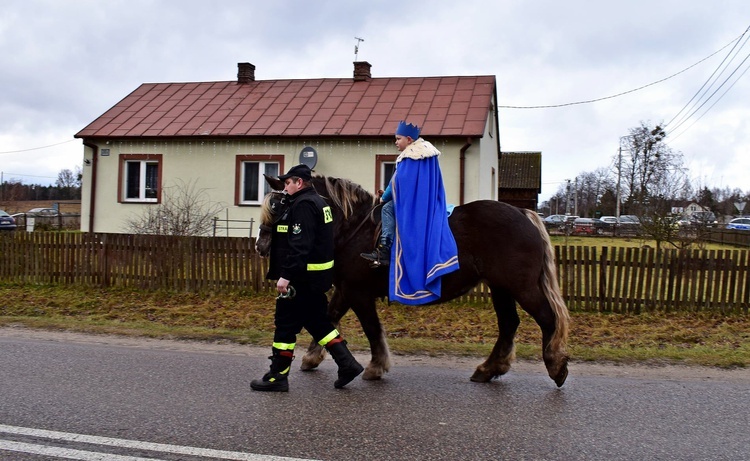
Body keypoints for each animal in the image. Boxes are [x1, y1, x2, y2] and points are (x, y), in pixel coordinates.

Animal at [258, 174, 568, 386]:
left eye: (281, 204)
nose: (261, 245)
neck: (354, 227)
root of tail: (523, 213)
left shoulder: (358, 293)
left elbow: (371, 328)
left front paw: (376, 366)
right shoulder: (346, 290)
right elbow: (330, 320)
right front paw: (312, 357)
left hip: (520, 287)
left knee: (546, 319)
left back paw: (555, 365)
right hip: (501, 287)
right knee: (509, 324)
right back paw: (490, 368)